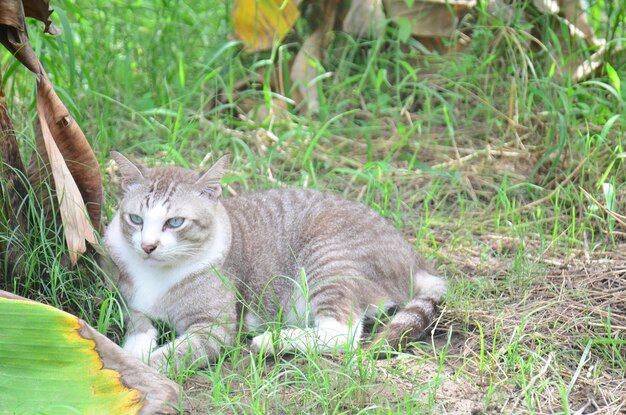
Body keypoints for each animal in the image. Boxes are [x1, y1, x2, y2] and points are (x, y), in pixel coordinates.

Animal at [103, 153, 444, 374]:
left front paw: (139, 367)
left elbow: (177, 354)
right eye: (136, 219)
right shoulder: (126, 298)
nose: (148, 246)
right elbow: (138, 322)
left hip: (328, 255)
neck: (157, 273)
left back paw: (271, 341)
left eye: (174, 222)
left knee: (343, 333)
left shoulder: (214, 327)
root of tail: (414, 256)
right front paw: (132, 349)